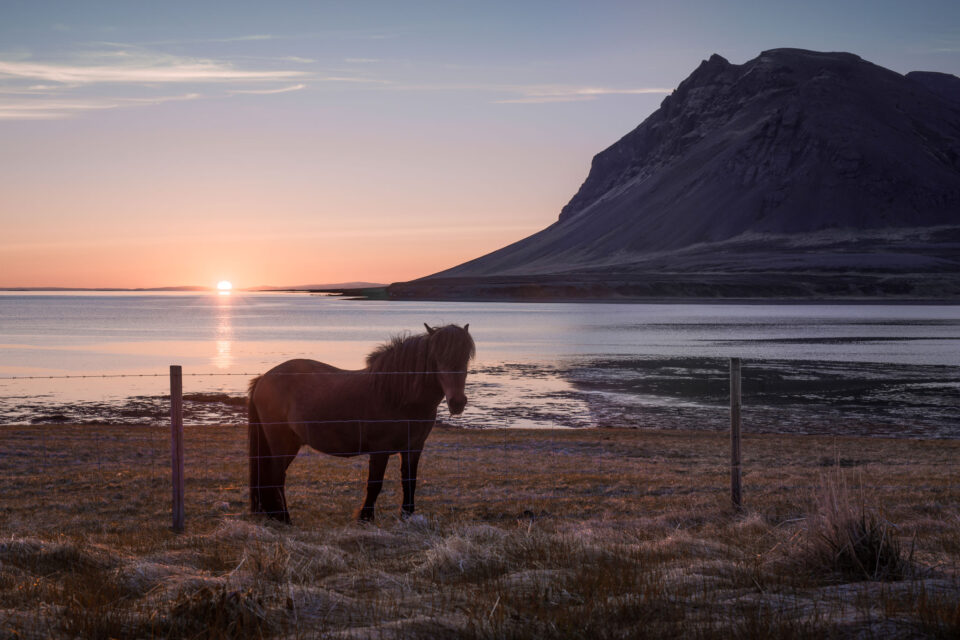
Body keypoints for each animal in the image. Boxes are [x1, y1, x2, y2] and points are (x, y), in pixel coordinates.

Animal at [247, 323, 475, 523]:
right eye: (437, 358)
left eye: (465, 358)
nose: (457, 402)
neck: (397, 396)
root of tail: (263, 378)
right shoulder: (380, 450)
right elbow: (375, 484)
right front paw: (365, 517)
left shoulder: (414, 448)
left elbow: (410, 481)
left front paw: (407, 515)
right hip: (281, 444)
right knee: (277, 477)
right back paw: (285, 518)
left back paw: (275, 515)